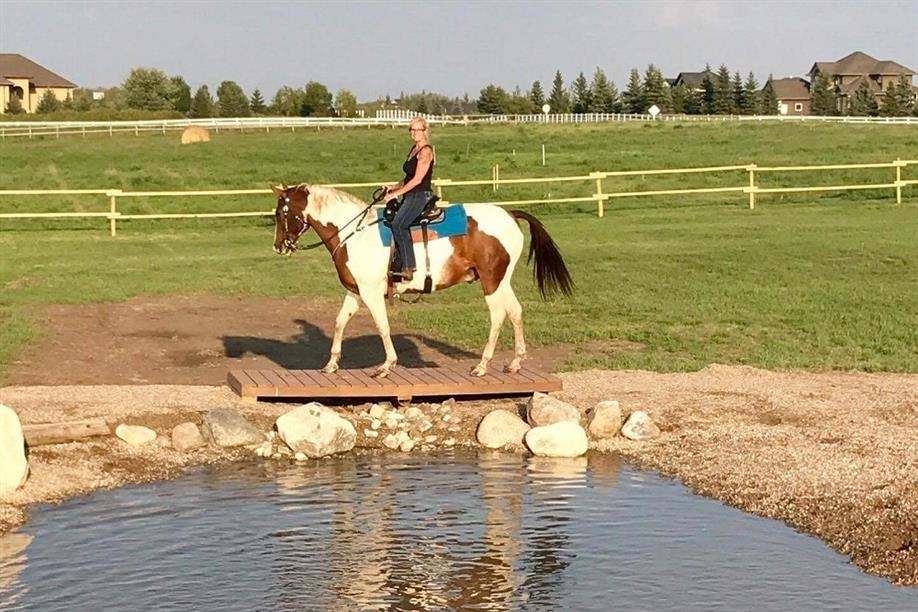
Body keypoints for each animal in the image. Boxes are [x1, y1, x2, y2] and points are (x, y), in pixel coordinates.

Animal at [271, 184, 573, 378]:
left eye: (280, 213)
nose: (279, 246)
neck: (354, 233)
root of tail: (510, 214)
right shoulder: (355, 292)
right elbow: (339, 322)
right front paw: (331, 364)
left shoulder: (370, 293)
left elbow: (382, 326)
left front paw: (386, 366)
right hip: (502, 280)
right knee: (516, 312)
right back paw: (515, 363)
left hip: (490, 281)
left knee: (498, 315)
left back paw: (482, 366)